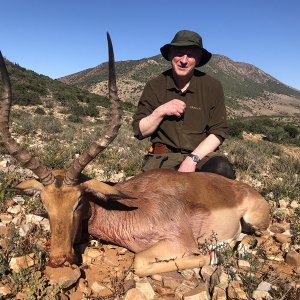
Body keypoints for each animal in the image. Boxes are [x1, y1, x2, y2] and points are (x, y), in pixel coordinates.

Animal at [0, 33, 270, 276]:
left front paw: (214, 256)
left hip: (254, 221)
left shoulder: (181, 243)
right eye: (44, 204)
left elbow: (139, 262)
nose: (59, 260)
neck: (129, 208)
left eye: (78, 201)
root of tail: (248, 190)